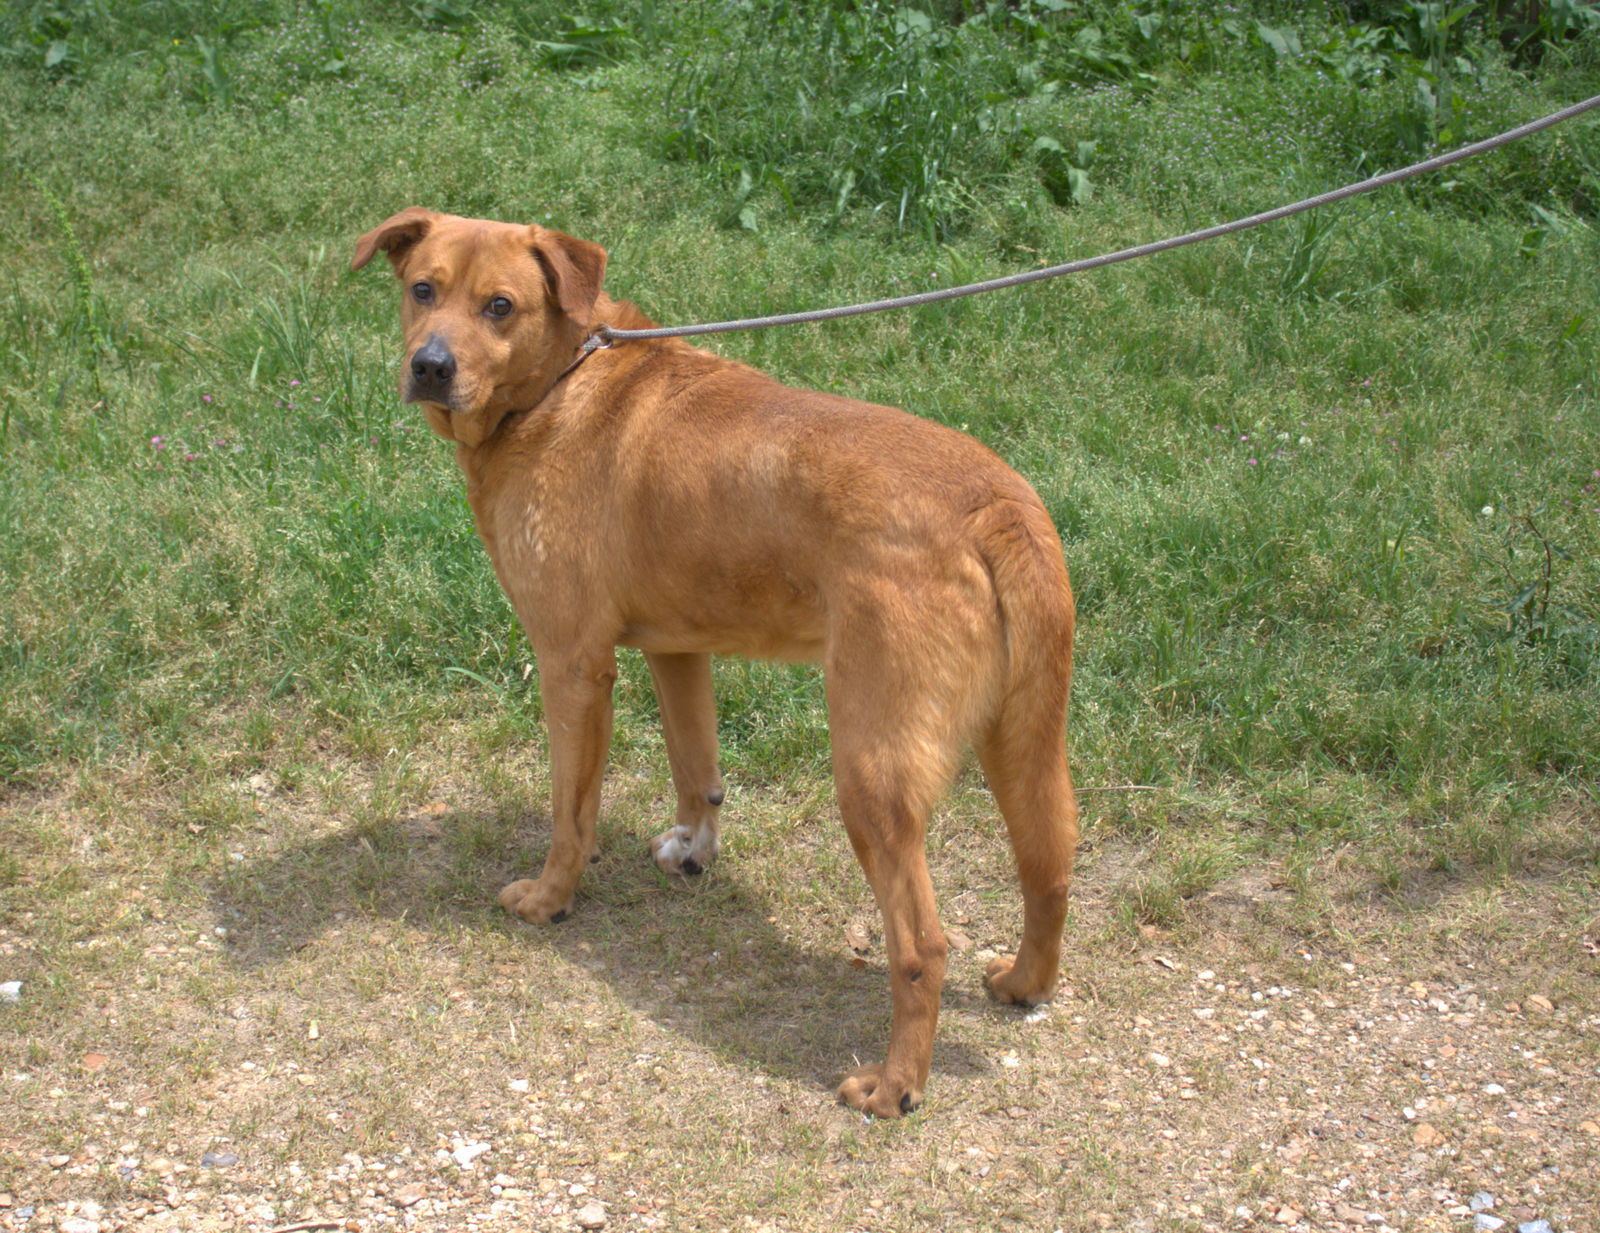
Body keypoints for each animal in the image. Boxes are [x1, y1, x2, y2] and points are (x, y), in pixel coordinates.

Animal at [350, 207, 1075, 1113]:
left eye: (500, 306)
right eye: (423, 289)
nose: (430, 366)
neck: (561, 382)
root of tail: (993, 505)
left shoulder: (572, 665)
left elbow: (570, 814)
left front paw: (551, 899)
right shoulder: (677, 649)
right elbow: (697, 767)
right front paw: (694, 851)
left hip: (872, 775)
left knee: (921, 944)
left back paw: (894, 1084)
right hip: (1023, 742)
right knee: (1050, 868)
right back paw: (1022, 983)